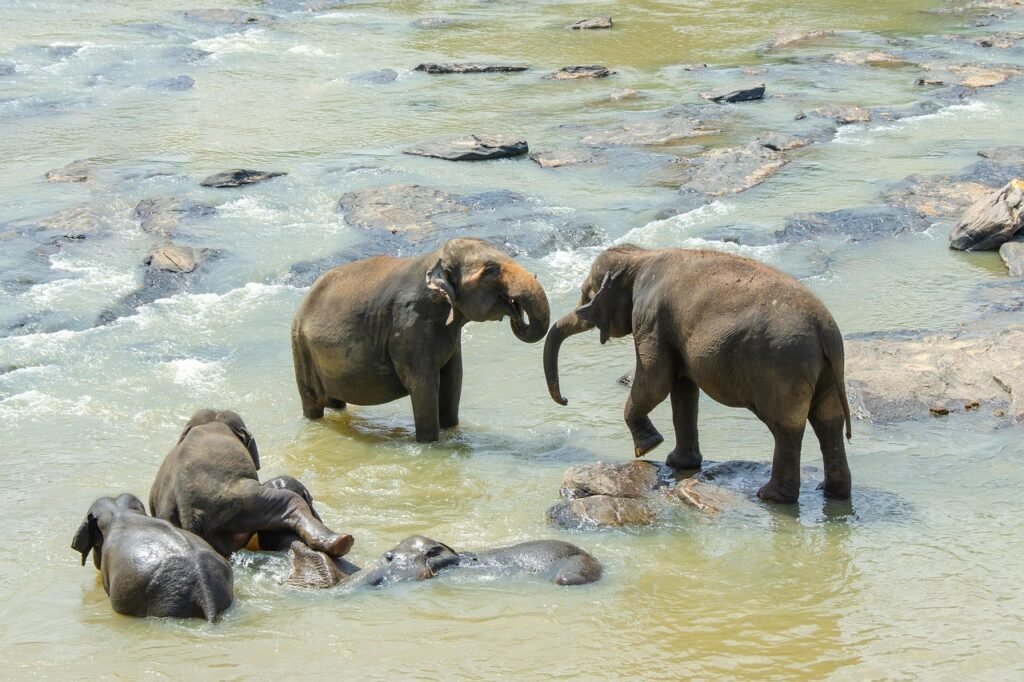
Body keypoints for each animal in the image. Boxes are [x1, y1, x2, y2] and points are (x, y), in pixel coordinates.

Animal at [291, 237, 550, 442]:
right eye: (490, 270)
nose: (515, 311)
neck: (434, 258)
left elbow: (453, 380)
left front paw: (451, 431)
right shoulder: (409, 326)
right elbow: (424, 386)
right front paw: (430, 444)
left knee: (337, 403)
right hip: (301, 348)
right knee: (312, 403)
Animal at [543, 245, 852, 504]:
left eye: (586, 295)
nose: (566, 400)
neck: (641, 255)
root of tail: (827, 330)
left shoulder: (651, 318)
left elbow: (655, 382)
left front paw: (648, 449)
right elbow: (683, 389)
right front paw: (678, 463)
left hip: (783, 368)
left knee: (786, 428)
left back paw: (771, 497)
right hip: (823, 372)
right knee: (829, 423)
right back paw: (831, 492)